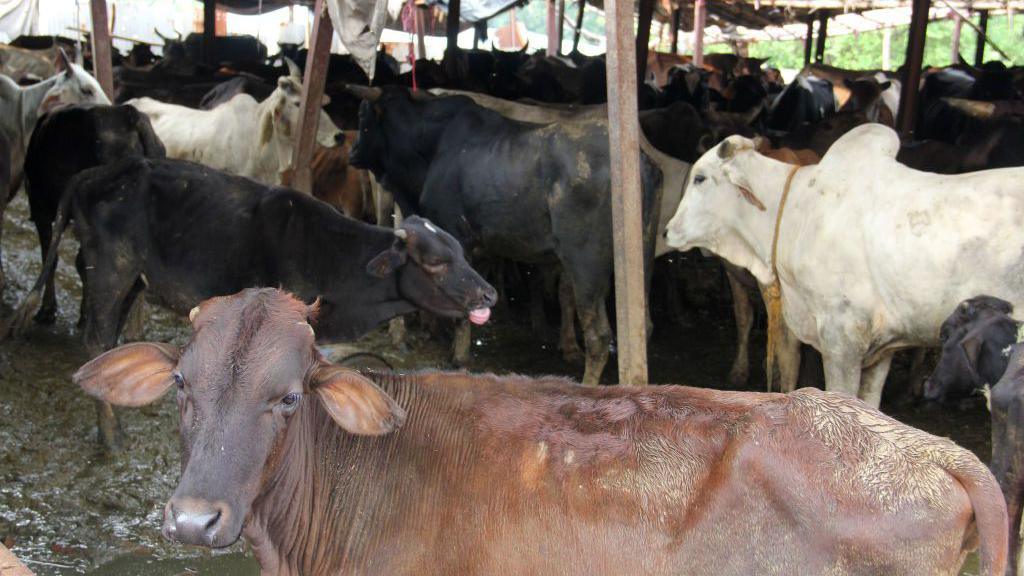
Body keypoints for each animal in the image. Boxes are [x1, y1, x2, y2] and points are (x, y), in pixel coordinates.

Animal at [10, 157, 496, 447]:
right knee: (95, 340)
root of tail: (96, 172)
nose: (489, 292)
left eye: (460, 251)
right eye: (435, 262)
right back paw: (110, 435)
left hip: (132, 277)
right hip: (112, 268)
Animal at [350, 86, 665, 385]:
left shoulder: (456, 237)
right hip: (643, 259)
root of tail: (642, 163)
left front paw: (458, 355)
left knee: (598, 336)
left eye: (363, 119)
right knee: (644, 325)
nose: (352, 152)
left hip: (586, 264)